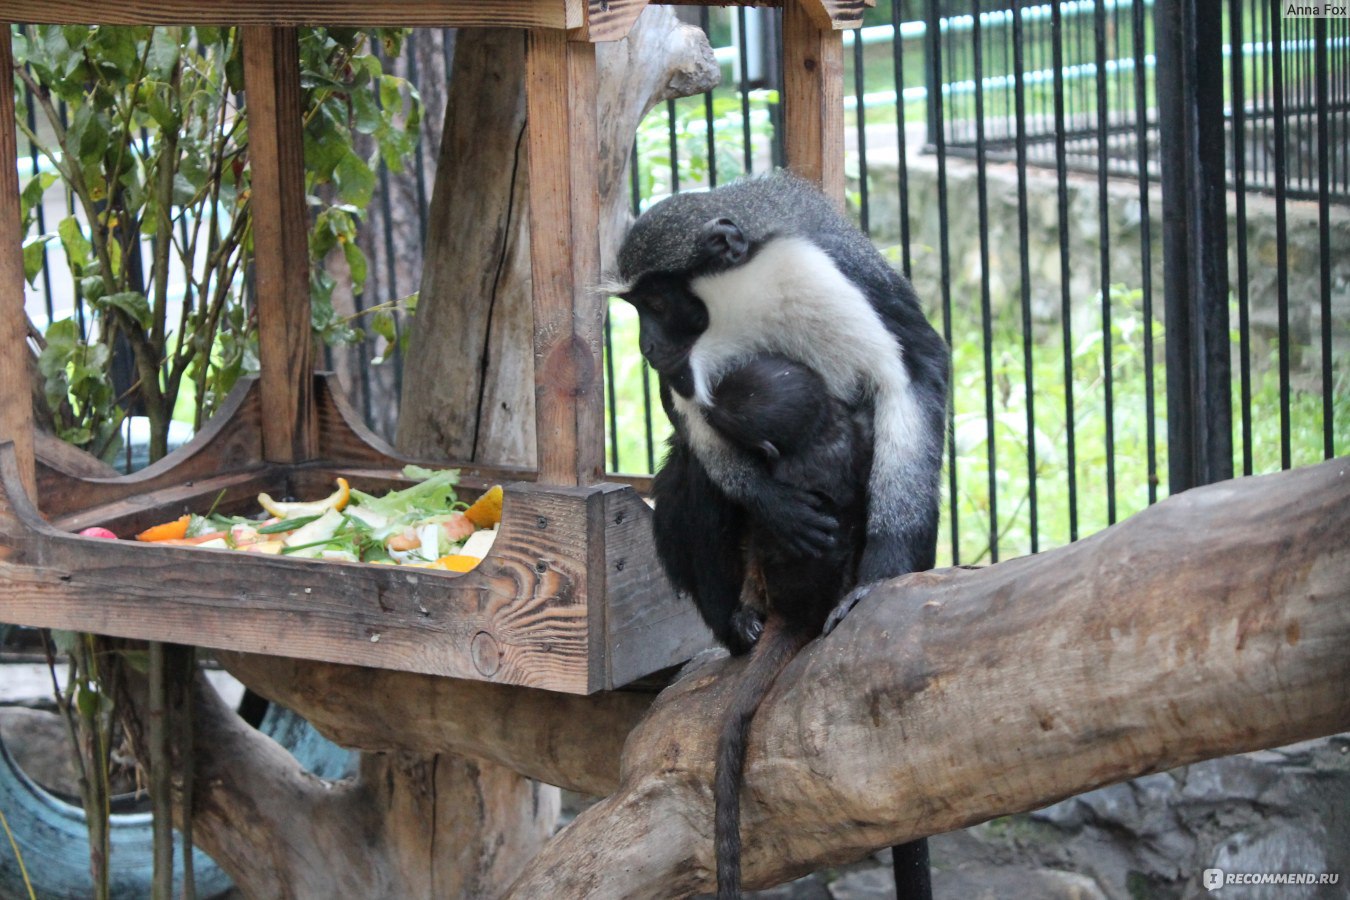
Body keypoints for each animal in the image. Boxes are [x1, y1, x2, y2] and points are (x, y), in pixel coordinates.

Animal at [612, 172, 950, 895]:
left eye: (658, 301)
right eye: (637, 308)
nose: (647, 348)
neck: (738, 303)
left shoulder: (827, 276)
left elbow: (909, 374)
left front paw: (878, 576)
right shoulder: (689, 379)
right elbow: (695, 429)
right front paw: (777, 505)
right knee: (688, 477)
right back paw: (735, 623)